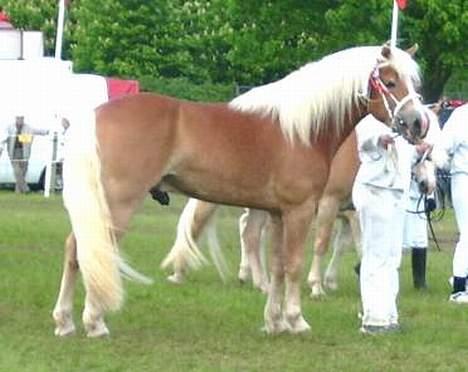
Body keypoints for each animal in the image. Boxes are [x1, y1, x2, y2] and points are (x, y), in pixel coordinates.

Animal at [52, 43, 428, 338]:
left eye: (414, 82)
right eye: (390, 82)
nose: (419, 123)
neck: (301, 130)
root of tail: (95, 115)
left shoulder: (278, 214)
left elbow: (277, 266)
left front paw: (274, 322)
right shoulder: (300, 210)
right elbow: (294, 264)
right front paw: (296, 320)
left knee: (73, 249)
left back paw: (65, 321)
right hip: (119, 202)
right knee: (91, 249)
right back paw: (95, 322)